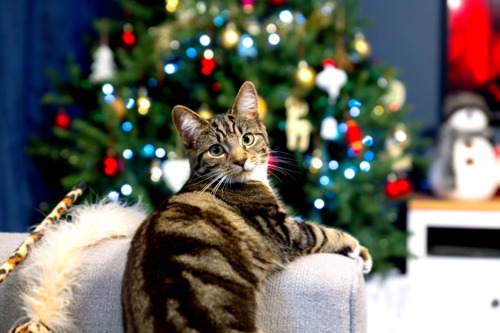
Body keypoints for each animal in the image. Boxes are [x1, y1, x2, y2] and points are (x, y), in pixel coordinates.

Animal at [121, 81, 372, 332]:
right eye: (216, 150)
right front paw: (359, 249)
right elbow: (322, 232)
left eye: (248, 139)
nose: (241, 160)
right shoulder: (282, 228)